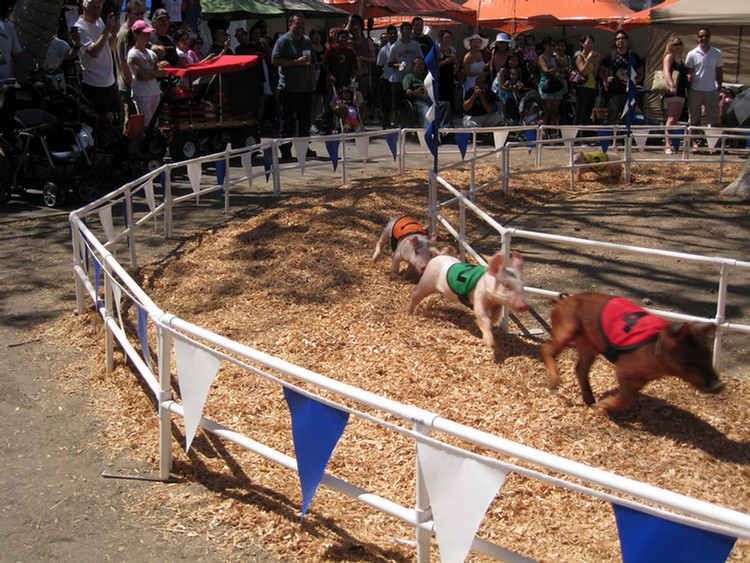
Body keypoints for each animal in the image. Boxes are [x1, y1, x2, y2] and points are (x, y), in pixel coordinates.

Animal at [544, 294, 724, 412]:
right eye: (692, 354)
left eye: (708, 352)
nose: (720, 384)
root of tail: (563, 300)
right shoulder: (624, 368)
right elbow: (625, 397)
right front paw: (602, 405)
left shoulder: (642, 378)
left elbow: (629, 398)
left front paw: (599, 404)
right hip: (567, 328)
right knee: (547, 349)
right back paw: (555, 383)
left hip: (588, 345)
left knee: (580, 368)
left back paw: (590, 401)